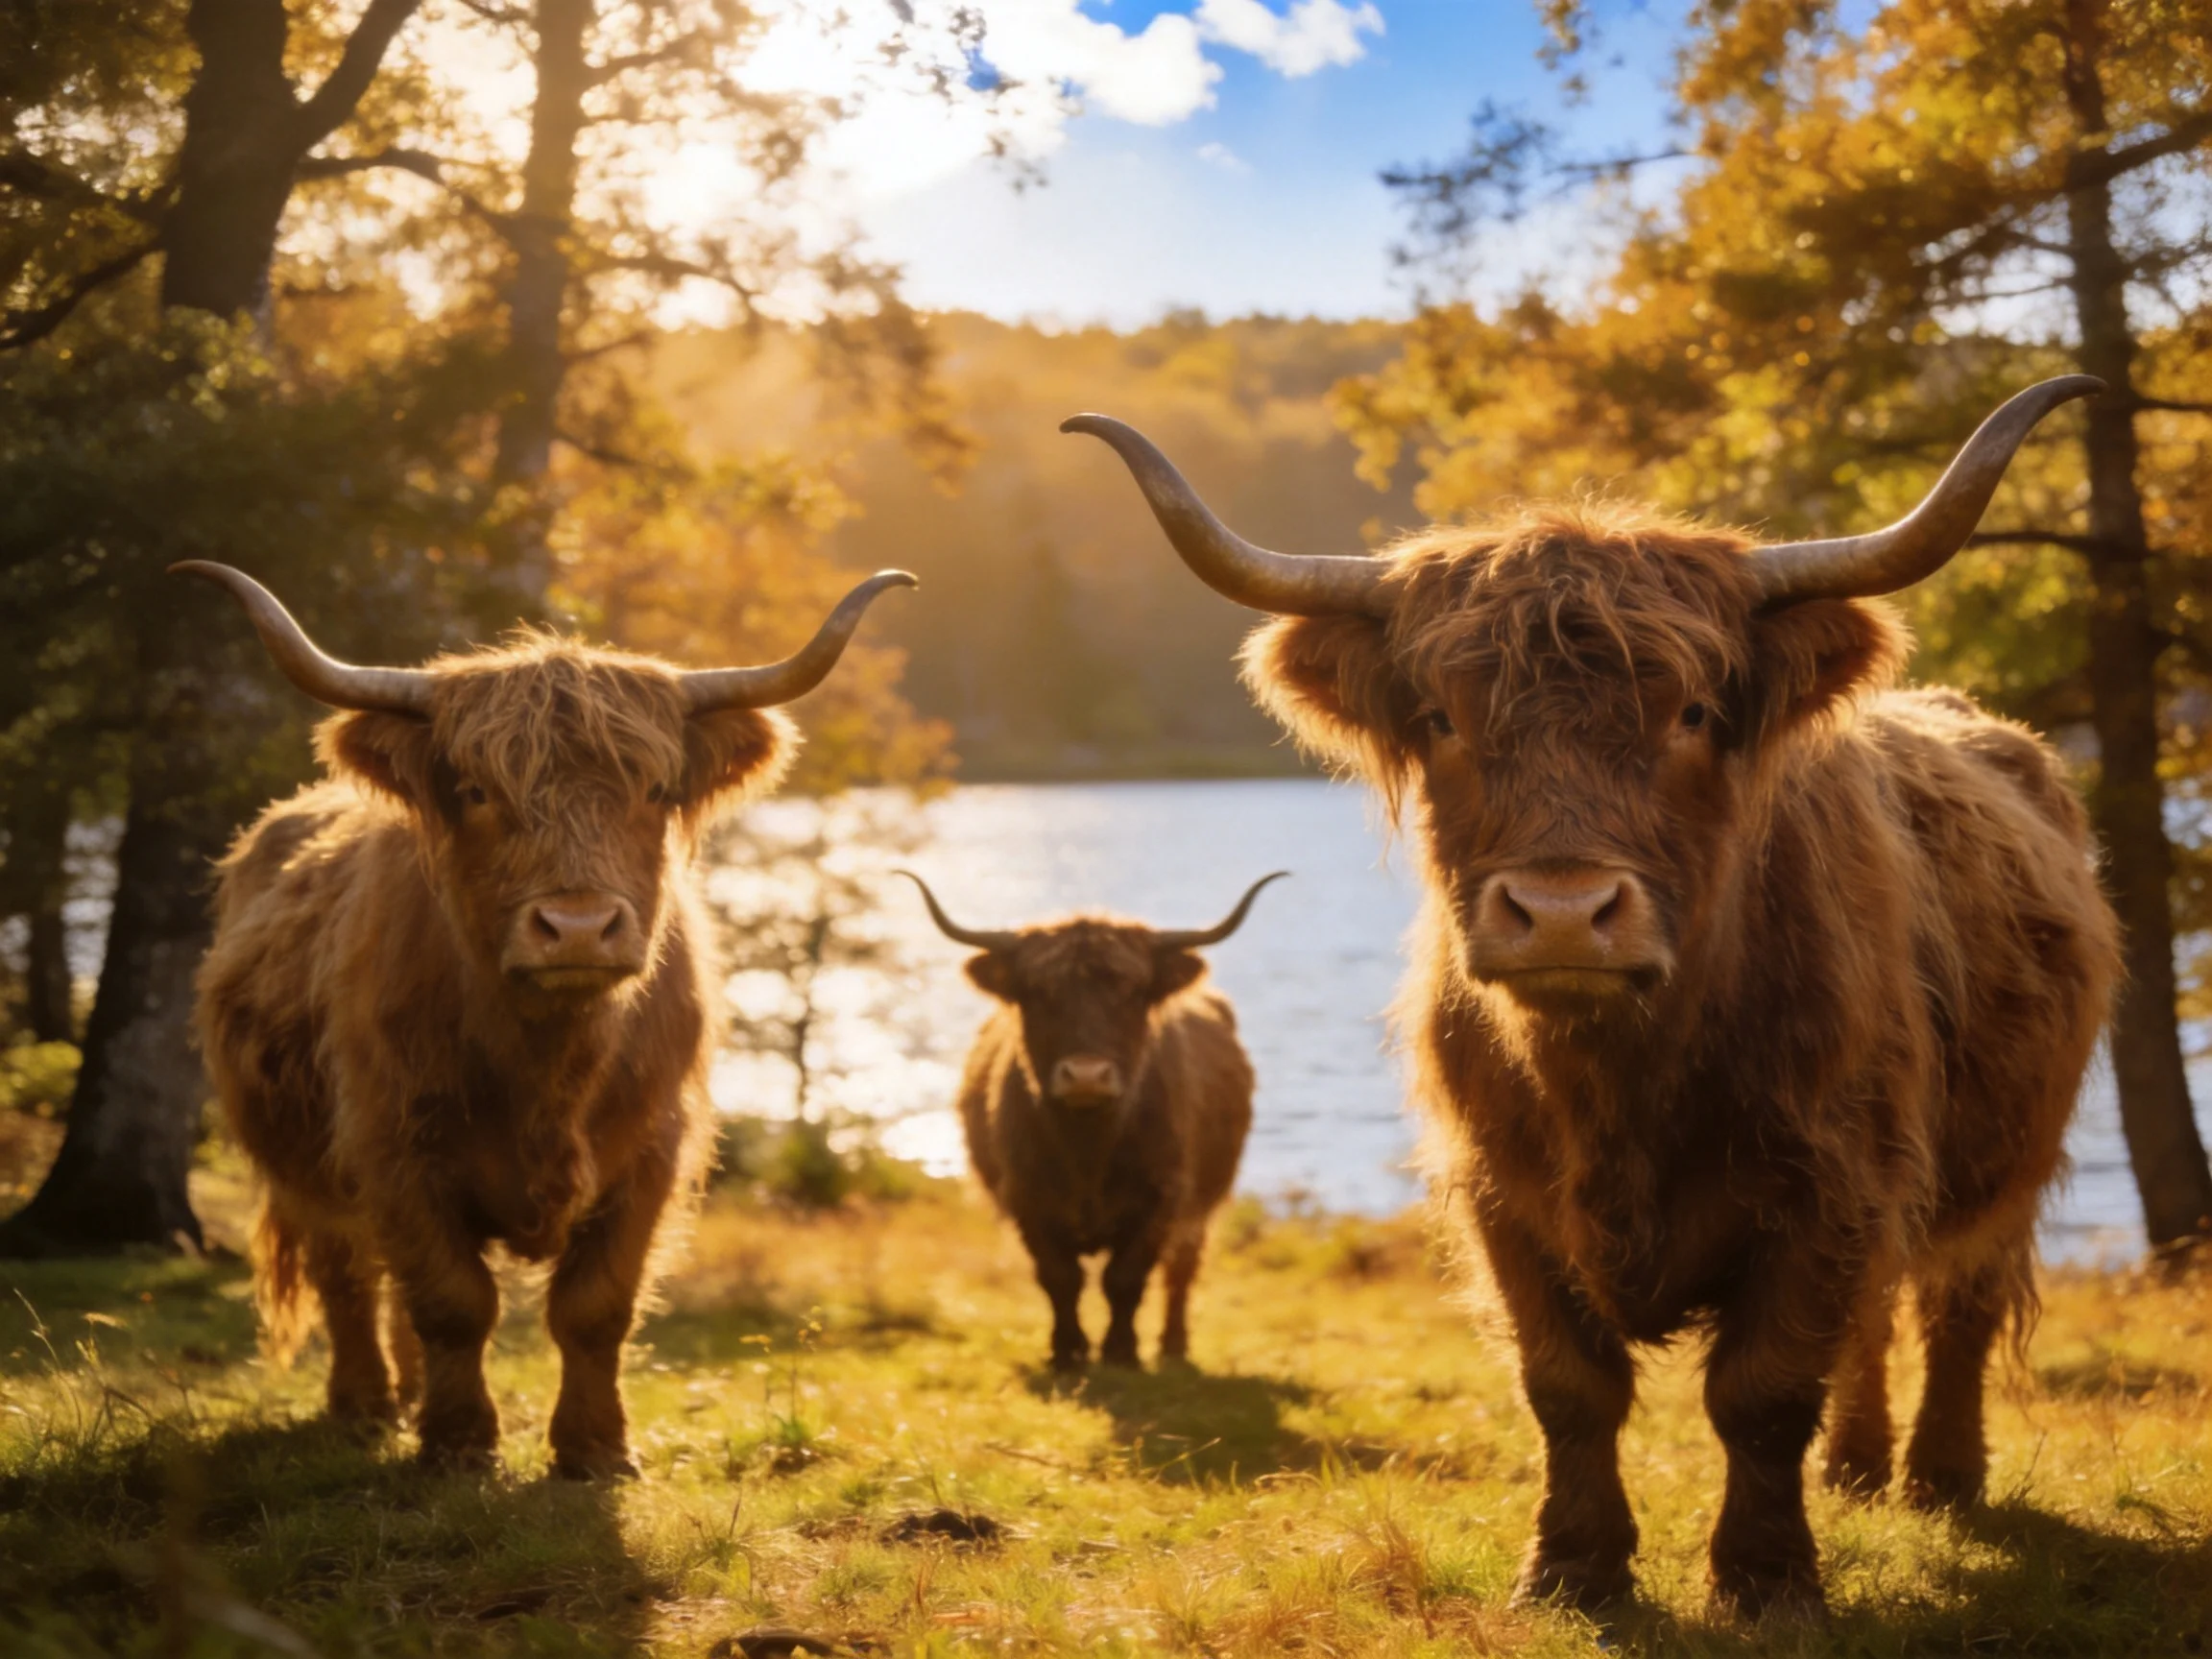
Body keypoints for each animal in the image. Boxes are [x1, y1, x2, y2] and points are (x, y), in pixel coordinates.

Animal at [183, 561, 913, 1477]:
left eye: (654, 788)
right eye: (474, 790)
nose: (577, 927)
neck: (548, 1063)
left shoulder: (653, 1153)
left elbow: (594, 1307)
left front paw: (595, 1449)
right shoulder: (392, 1146)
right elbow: (454, 1301)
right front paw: (460, 1445)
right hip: (302, 1166)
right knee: (348, 1275)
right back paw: (364, 1406)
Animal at [901, 870, 1282, 1370]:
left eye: (1133, 991)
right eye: (1038, 991)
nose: (1086, 1075)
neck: (1088, 1151)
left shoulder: (1162, 1199)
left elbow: (1125, 1278)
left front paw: (1121, 1352)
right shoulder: (1028, 1200)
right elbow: (1060, 1277)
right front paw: (1067, 1351)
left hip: (1201, 1203)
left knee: (1182, 1267)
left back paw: (1173, 1347)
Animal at [1064, 378, 2121, 1620]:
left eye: (1695, 713)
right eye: (1442, 719)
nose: (1564, 911)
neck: (1619, 1082)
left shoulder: (1831, 1184)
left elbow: (1763, 1388)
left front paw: (1765, 1582)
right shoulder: (1502, 1195)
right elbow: (1567, 1385)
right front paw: (1573, 1569)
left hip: (2006, 1158)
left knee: (1958, 1304)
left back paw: (1943, 1479)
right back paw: (1857, 1469)